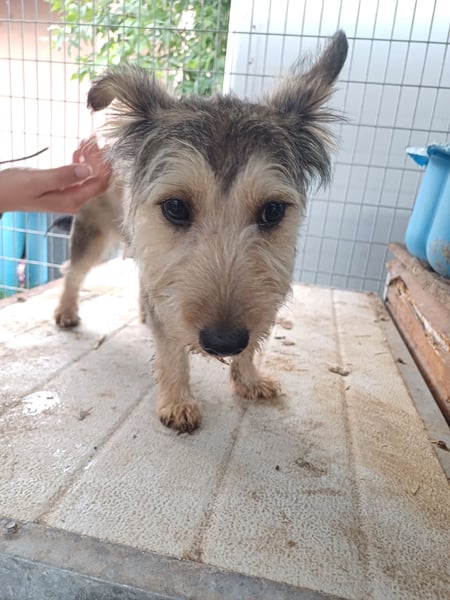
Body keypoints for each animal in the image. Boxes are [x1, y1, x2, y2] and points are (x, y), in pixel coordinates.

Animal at [54, 31, 348, 433]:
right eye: (176, 207)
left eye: (273, 211)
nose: (224, 342)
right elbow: (171, 351)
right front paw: (177, 401)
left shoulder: (261, 293)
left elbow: (253, 341)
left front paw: (248, 378)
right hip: (93, 233)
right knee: (74, 271)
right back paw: (67, 311)